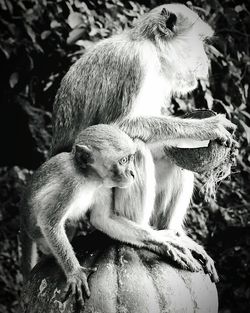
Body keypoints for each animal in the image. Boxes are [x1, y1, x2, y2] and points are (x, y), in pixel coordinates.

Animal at [51, 2, 236, 276]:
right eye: (201, 42)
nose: (206, 62)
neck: (152, 49)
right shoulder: (136, 64)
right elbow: (119, 127)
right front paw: (205, 127)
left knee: (173, 160)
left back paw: (171, 231)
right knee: (135, 147)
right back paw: (143, 233)